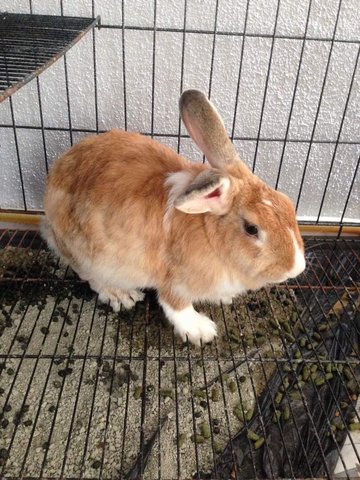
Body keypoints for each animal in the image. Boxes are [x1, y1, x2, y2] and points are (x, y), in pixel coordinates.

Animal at [43, 90, 306, 344]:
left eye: (288, 203)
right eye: (252, 229)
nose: (296, 268)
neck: (211, 235)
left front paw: (224, 298)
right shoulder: (175, 280)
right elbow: (176, 306)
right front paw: (201, 331)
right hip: (90, 256)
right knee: (92, 278)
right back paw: (121, 295)